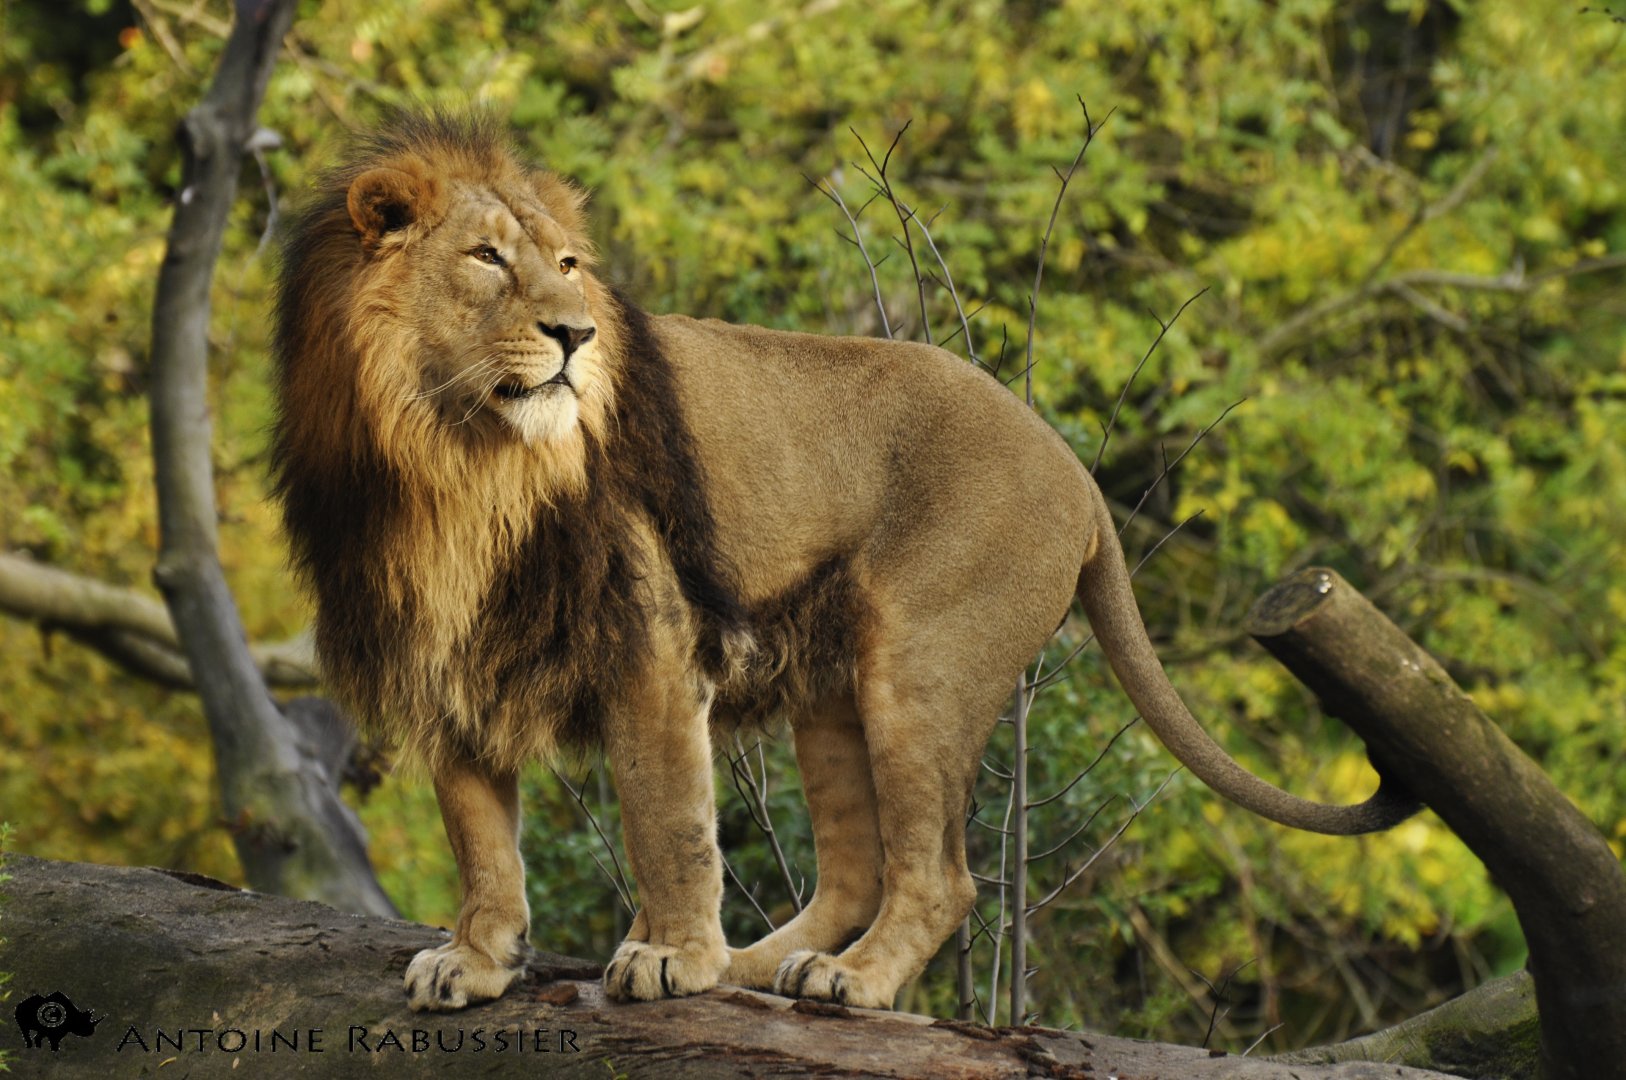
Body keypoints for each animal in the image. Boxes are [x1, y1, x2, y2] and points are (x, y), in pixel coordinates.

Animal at [270, 111, 1416, 1013]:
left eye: (567, 265)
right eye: (486, 258)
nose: (576, 334)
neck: (451, 455)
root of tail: (1075, 469)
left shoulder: (649, 641)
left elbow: (668, 819)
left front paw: (669, 957)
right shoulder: (439, 647)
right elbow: (478, 834)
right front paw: (474, 962)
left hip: (922, 662)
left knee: (940, 878)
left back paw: (846, 981)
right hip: (827, 687)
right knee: (859, 868)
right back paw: (757, 965)